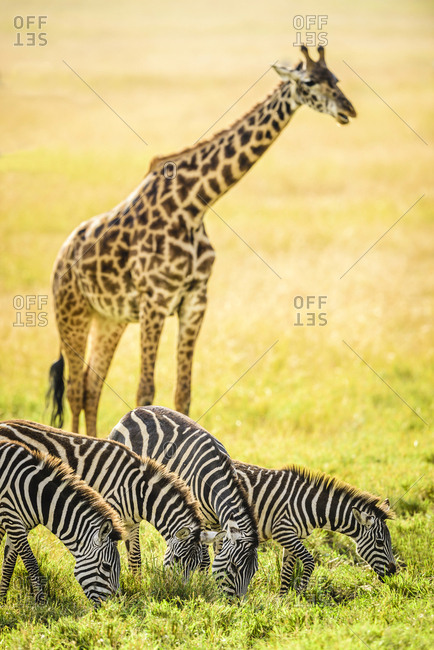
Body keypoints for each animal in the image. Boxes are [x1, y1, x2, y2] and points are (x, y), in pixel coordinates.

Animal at [0, 420, 221, 580]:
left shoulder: (131, 523)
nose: (178, 589)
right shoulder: (108, 517)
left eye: (195, 566)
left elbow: (135, 558)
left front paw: (137, 586)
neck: (138, 490)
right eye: (176, 559)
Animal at [0, 440, 124, 606]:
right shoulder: (11, 517)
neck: (37, 494)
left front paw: (2, 600)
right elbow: (31, 561)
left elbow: (9, 562)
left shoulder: (20, 525)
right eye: (106, 566)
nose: (111, 608)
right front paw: (41, 603)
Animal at [47, 46, 356, 436]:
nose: (348, 110)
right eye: (310, 82)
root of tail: (60, 257)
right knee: (74, 390)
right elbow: (145, 390)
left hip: (109, 319)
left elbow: (183, 393)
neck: (194, 204)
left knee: (91, 387)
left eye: (337, 79)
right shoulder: (156, 300)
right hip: (72, 314)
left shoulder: (195, 300)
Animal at [109, 406, 259, 599]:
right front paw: (203, 584)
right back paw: (136, 582)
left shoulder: (218, 524)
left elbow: (217, 552)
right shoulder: (201, 519)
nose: (237, 603)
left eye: (253, 572)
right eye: (234, 567)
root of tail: (135, 410)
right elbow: (205, 559)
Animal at [229, 460, 397, 595]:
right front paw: (299, 593)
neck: (312, 506)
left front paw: (283, 601)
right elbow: (309, 561)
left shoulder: (294, 537)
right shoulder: (282, 531)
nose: (394, 572)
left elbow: (286, 571)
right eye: (380, 543)